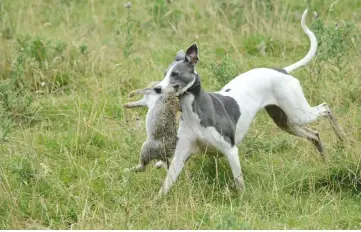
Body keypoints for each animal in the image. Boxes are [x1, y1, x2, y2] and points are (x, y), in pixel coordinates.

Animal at [154, 8, 344, 196]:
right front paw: (157, 201)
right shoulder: (180, 155)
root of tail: (282, 71)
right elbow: (165, 186)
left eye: (175, 74)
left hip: (299, 114)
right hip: (285, 122)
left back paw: (341, 138)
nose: (156, 88)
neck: (194, 111)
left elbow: (239, 184)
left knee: (325, 108)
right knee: (315, 135)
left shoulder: (231, 151)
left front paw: (242, 199)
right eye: (164, 73)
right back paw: (327, 161)